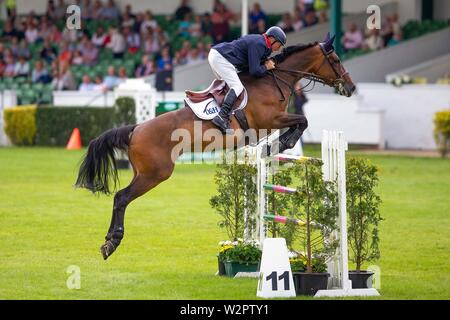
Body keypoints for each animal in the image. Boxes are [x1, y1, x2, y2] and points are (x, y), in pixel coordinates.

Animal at [74, 34, 356, 260]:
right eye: (336, 60)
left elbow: (299, 123)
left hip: (144, 172)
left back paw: (108, 242)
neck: (274, 80)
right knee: (122, 197)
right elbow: (302, 121)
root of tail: (135, 129)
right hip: (155, 174)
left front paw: (276, 146)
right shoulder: (271, 119)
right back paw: (112, 243)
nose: (351, 88)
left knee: (120, 198)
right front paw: (283, 144)